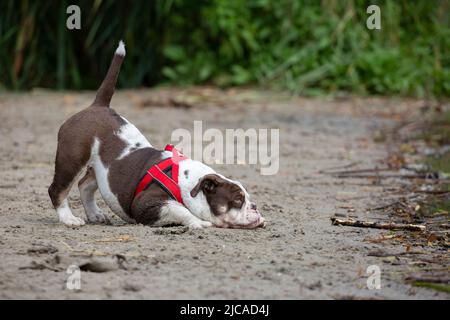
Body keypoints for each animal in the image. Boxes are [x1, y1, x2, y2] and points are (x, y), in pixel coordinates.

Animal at [47, 40, 266, 230]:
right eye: (237, 200)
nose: (255, 206)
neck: (188, 182)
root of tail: (97, 106)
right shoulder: (147, 203)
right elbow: (179, 209)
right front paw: (198, 222)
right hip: (71, 158)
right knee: (58, 189)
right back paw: (68, 218)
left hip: (101, 171)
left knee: (85, 184)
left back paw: (95, 214)